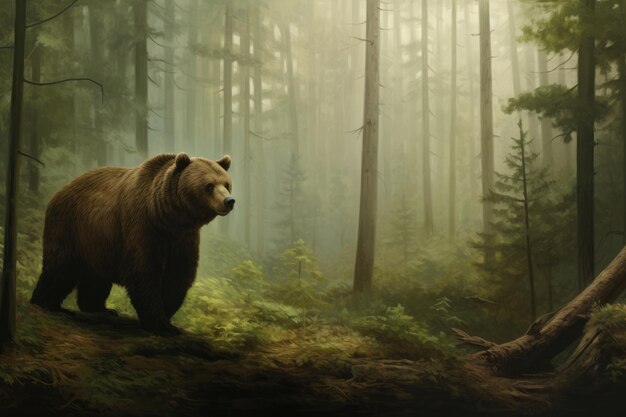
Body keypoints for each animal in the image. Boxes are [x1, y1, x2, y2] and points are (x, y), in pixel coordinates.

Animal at [30, 153, 233, 334]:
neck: (167, 217)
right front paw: (160, 324)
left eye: (226, 184)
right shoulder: (141, 225)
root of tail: (59, 191)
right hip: (71, 227)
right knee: (61, 268)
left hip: (97, 240)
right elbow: (142, 271)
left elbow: (178, 274)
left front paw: (167, 317)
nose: (229, 200)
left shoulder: (183, 238)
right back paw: (46, 303)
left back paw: (101, 309)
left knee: (95, 277)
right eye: (209, 185)